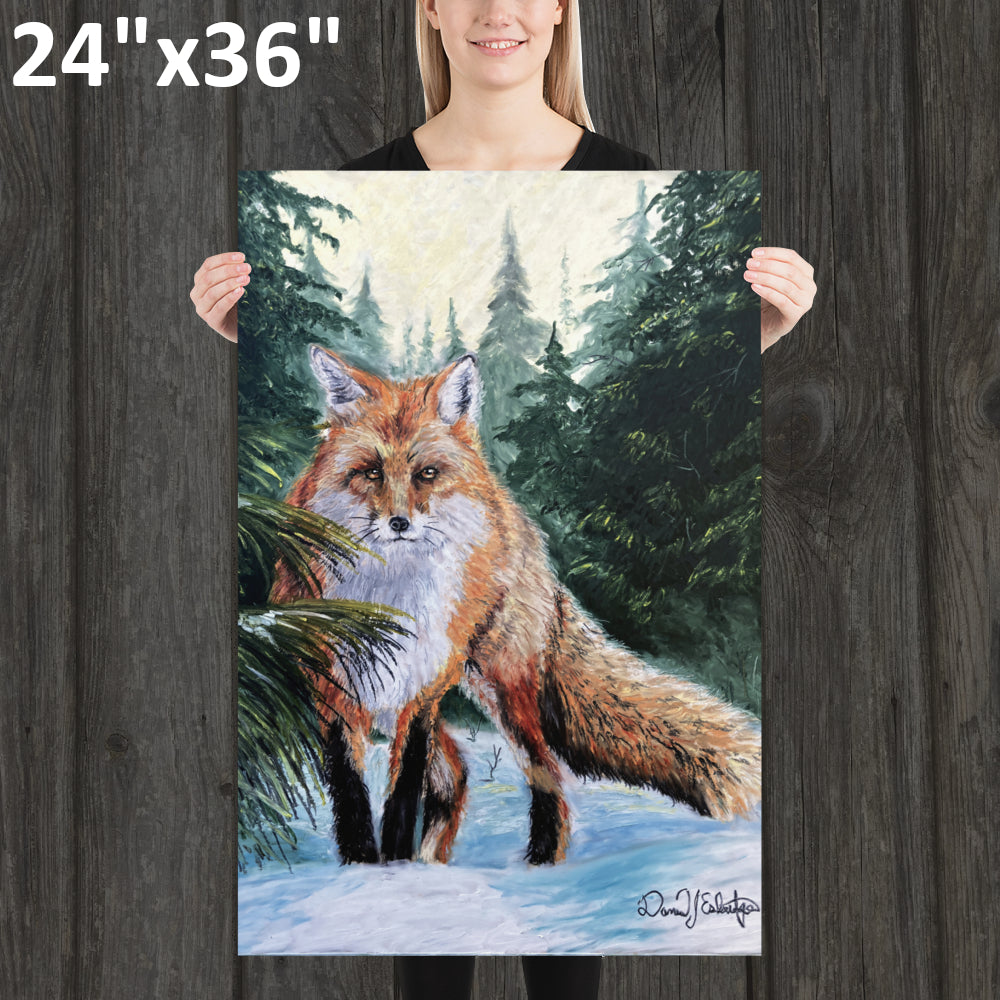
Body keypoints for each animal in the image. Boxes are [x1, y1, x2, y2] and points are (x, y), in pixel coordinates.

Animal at [269, 345, 762, 866]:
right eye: (371, 472)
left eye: (427, 474)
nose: (399, 523)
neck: (392, 598)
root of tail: (516, 517)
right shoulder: (334, 688)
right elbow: (351, 796)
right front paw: (366, 868)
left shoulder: (421, 691)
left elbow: (402, 795)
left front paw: (396, 868)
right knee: (457, 774)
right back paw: (436, 861)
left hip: (502, 689)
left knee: (546, 773)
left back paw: (540, 863)